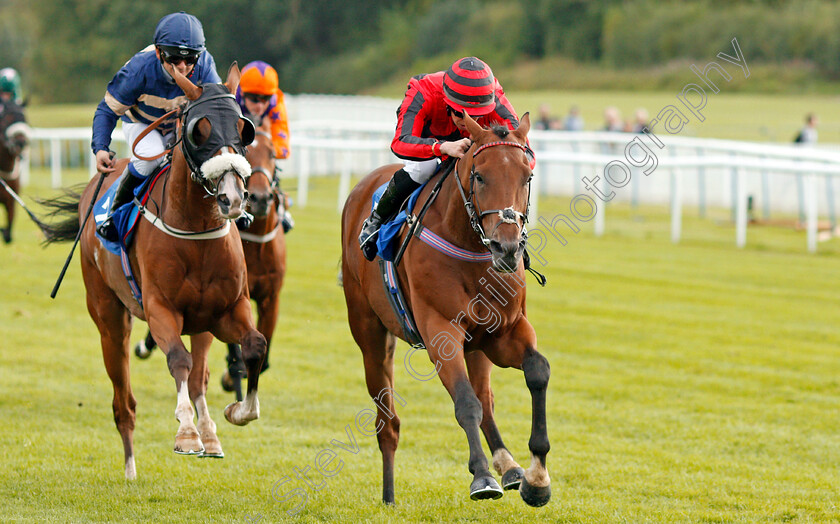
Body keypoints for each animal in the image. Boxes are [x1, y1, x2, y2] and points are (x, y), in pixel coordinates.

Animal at [39, 62, 266, 478]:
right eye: (199, 130)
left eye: (244, 128)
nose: (233, 197)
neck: (195, 231)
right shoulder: (160, 309)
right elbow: (177, 359)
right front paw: (186, 434)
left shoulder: (226, 310)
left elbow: (253, 346)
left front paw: (236, 413)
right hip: (109, 318)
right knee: (124, 401)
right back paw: (131, 468)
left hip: (202, 324)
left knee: (199, 377)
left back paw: (210, 435)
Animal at [340, 111, 552, 508]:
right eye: (479, 175)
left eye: (527, 176)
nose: (507, 248)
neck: (470, 245)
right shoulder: (441, 331)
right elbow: (466, 402)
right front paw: (482, 476)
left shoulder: (504, 331)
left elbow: (537, 371)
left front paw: (537, 478)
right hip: (369, 333)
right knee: (387, 422)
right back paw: (389, 496)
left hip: (478, 344)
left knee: (486, 397)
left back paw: (510, 467)